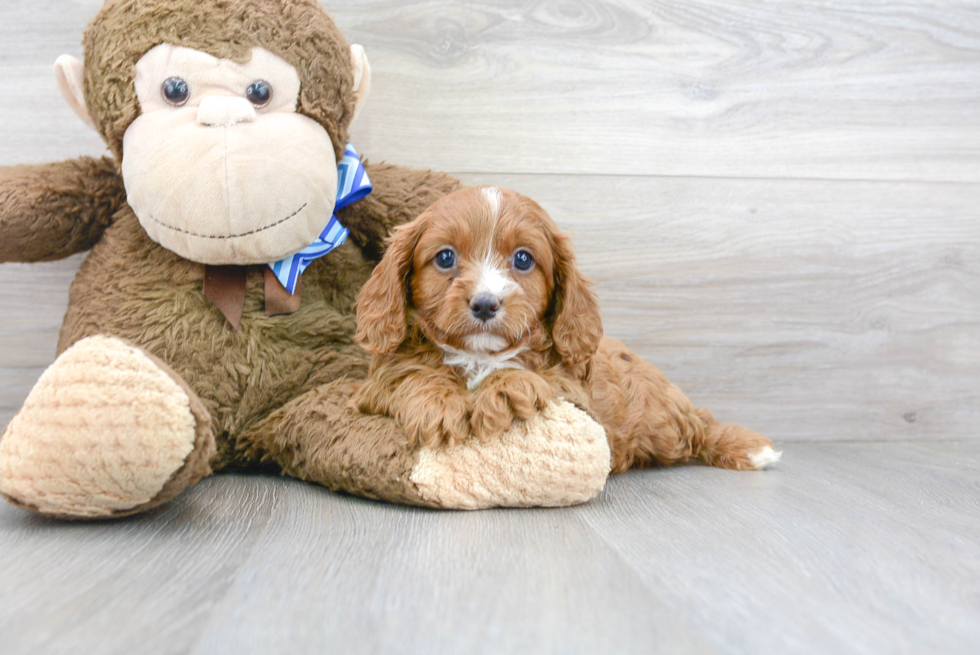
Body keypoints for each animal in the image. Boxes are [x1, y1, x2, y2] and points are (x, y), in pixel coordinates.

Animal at [354, 184, 780, 472]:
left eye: (523, 259)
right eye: (445, 257)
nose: (486, 303)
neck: (479, 355)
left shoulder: (577, 395)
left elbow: (535, 378)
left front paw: (502, 392)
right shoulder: (373, 387)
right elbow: (409, 375)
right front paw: (439, 404)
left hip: (663, 422)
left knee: (698, 426)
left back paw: (749, 449)